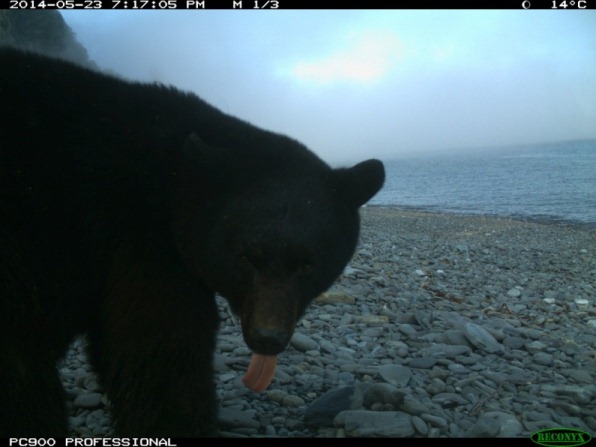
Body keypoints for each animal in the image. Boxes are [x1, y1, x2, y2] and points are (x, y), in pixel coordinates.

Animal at [0, 48, 386, 438]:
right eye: (246, 258)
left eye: (307, 264)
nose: (267, 337)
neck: (175, 187)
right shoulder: (139, 241)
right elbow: (161, 351)